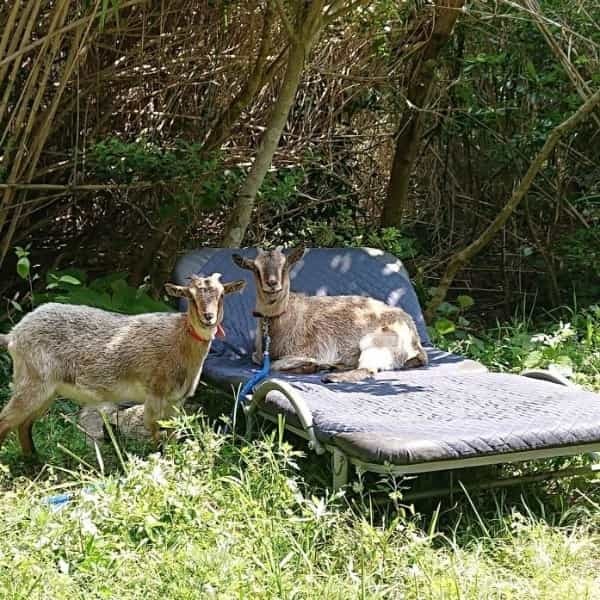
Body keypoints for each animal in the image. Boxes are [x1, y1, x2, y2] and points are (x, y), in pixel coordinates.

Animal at [0, 274, 246, 458]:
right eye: (190, 296)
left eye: (222, 295)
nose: (208, 317)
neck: (179, 340)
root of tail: (14, 334)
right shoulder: (155, 396)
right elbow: (157, 435)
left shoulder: (177, 401)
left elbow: (173, 435)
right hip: (32, 381)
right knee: (6, 421)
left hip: (47, 390)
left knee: (23, 425)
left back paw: (34, 461)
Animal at [232, 246, 428, 382]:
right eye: (255, 268)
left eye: (285, 265)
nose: (272, 284)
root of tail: (416, 342)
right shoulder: (259, 354)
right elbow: (258, 359)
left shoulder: (306, 350)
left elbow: (275, 364)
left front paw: (312, 365)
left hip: (377, 341)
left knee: (367, 369)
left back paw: (331, 375)